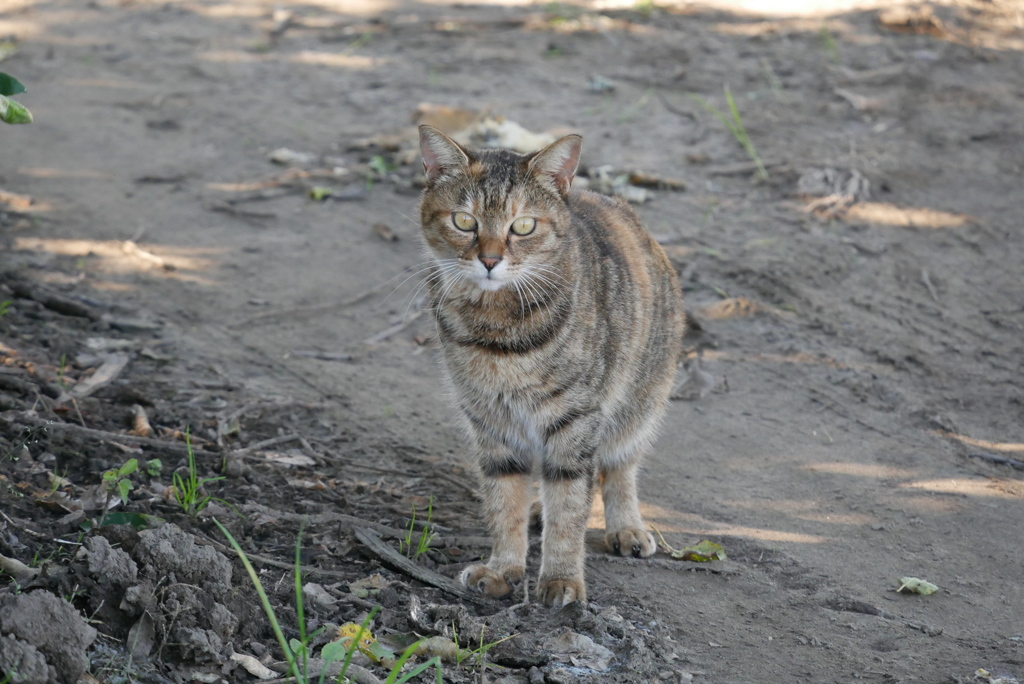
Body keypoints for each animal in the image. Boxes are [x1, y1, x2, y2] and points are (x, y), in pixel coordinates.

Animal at [415, 125, 688, 606]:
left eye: (523, 226)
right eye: (464, 221)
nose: (489, 260)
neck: (497, 331)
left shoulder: (574, 420)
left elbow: (570, 506)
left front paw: (561, 577)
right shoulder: (491, 422)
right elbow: (505, 500)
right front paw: (504, 568)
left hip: (637, 407)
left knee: (619, 469)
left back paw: (626, 526)